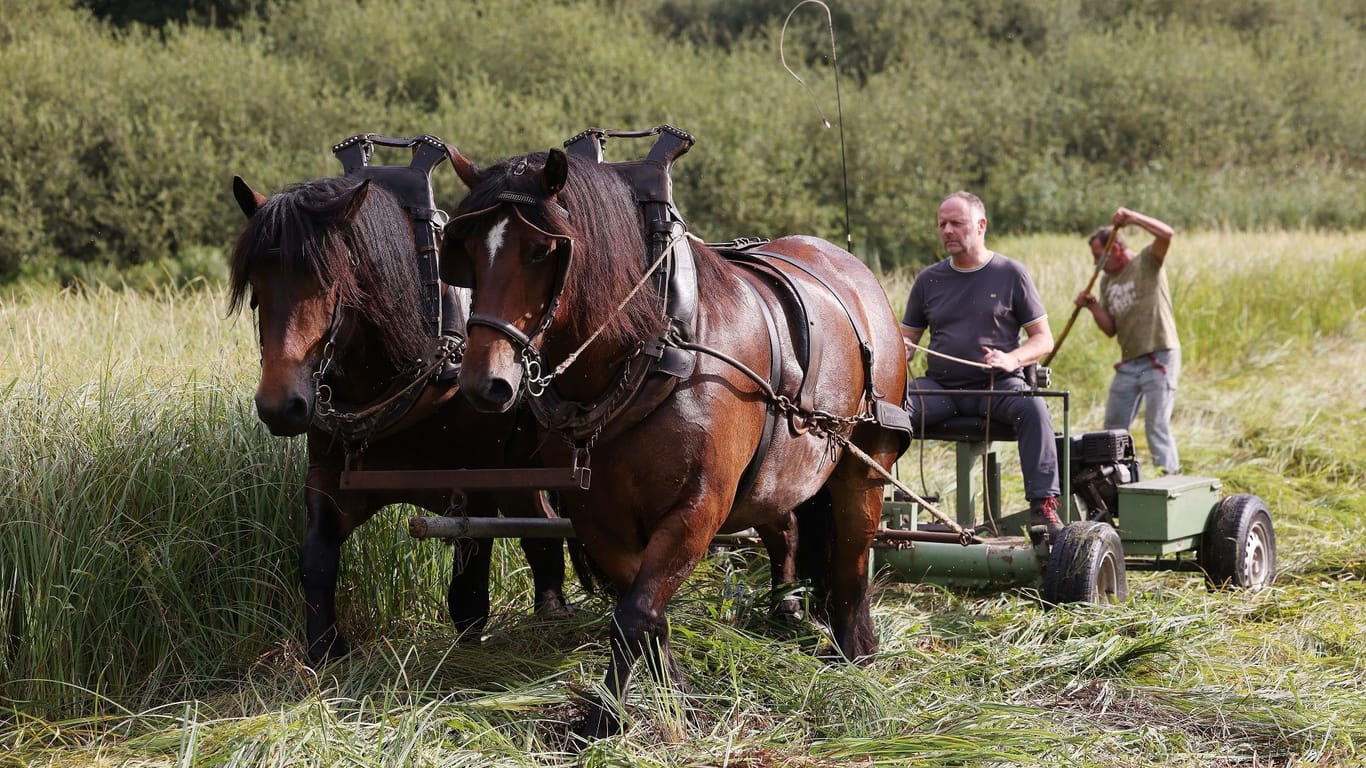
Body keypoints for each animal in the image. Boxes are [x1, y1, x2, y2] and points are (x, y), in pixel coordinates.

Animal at [228, 173, 576, 664]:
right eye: (255, 286)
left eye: (328, 281)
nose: (281, 405)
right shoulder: (329, 473)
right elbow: (316, 558)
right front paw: (325, 650)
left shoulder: (479, 480)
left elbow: (470, 583)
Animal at [439, 143, 907, 737]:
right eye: (467, 251)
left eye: (541, 251)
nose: (485, 382)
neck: (655, 349)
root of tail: (854, 272)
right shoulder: (597, 517)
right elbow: (642, 609)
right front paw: (674, 697)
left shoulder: (697, 507)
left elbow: (635, 613)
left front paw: (604, 721)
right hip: (779, 473)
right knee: (786, 527)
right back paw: (786, 610)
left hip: (865, 457)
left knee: (853, 550)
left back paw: (854, 651)